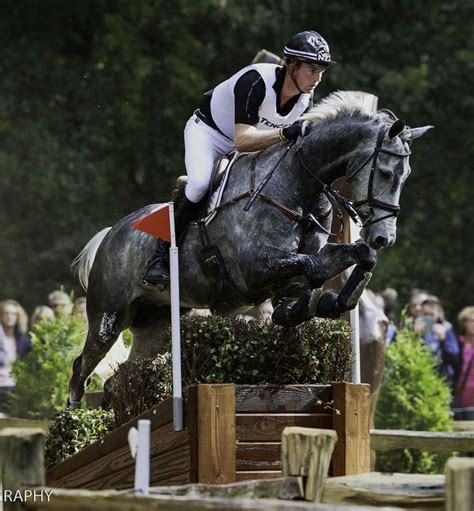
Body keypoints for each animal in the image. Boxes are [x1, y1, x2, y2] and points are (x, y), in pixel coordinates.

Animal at [67, 90, 434, 406]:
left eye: (406, 175)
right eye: (385, 172)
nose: (384, 237)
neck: (298, 187)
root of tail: (112, 234)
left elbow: (353, 257)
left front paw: (328, 302)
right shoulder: (254, 269)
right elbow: (313, 267)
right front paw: (314, 303)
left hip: (156, 326)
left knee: (119, 379)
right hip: (109, 316)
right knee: (81, 369)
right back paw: (73, 424)